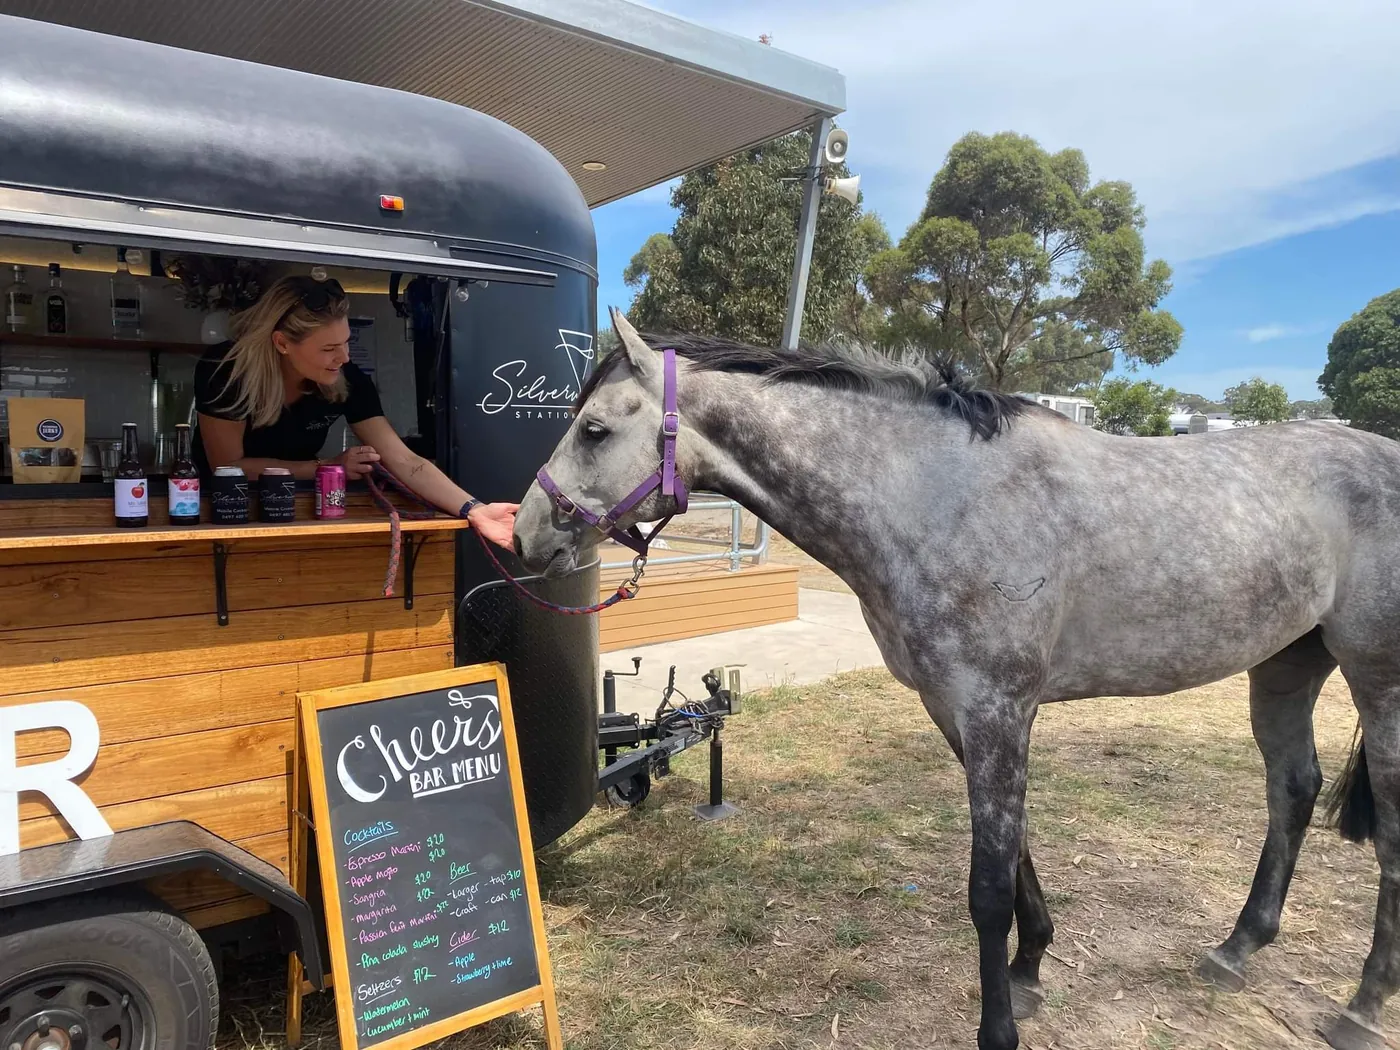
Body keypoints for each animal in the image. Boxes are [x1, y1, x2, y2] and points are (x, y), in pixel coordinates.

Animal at [512, 308, 1400, 1050]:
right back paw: (1237, 948)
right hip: (1287, 664)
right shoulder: (960, 713)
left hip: (1377, 678)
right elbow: (1017, 857)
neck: (934, 496)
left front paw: (998, 1027)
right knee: (1292, 789)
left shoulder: (998, 710)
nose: (524, 534)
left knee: (1387, 824)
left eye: (593, 429)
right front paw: (1030, 969)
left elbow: (987, 888)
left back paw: (1360, 1008)